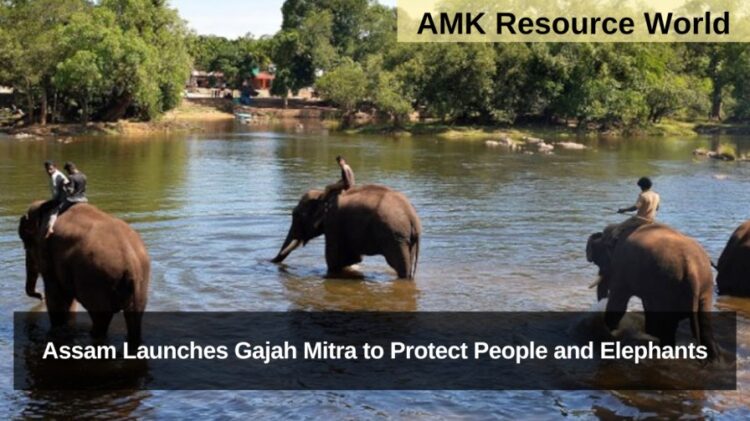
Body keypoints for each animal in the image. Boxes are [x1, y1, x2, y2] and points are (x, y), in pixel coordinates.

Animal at [19, 201, 150, 343]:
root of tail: (131, 263)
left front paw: (57, 328)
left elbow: (55, 296)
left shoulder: (47, 252)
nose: (40, 296)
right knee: (134, 318)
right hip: (140, 285)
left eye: (26, 244)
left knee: (101, 319)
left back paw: (91, 335)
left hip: (96, 280)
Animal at [272, 185, 421, 279]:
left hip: (394, 237)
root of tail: (413, 218)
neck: (323, 196)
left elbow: (333, 260)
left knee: (400, 266)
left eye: (297, 215)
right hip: (405, 239)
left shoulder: (333, 223)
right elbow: (351, 259)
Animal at [586, 222, 718, 358]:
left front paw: (610, 332)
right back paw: (712, 358)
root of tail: (692, 269)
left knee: (667, 322)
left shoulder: (621, 268)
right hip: (704, 286)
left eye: (599, 262)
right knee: (703, 321)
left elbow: (618, 304)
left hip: (668, 284)